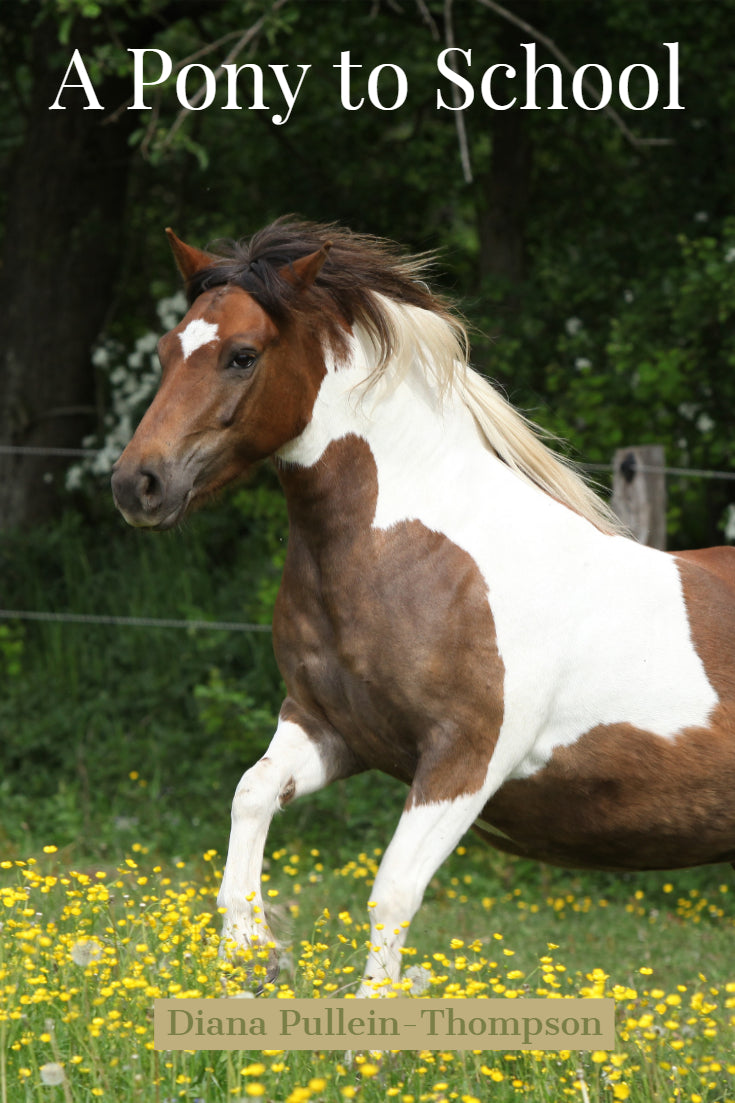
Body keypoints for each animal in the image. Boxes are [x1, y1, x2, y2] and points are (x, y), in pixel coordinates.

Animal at [112, 218, 735, 994]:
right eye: (166, 350)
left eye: (242, 355)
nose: (137, 484)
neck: (427, 555)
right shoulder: (328, 727)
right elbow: (251, 794)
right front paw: (251, 955)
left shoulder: (466, 757)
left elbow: (393, 889)